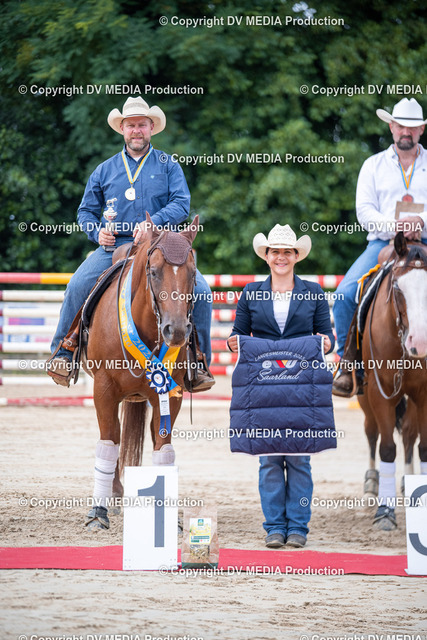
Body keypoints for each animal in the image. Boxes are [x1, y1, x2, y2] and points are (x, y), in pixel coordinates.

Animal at [83, 214, 198, 530]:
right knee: (114, 438)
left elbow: (163, 449)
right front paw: (98, 512)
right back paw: (114, 496)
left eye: (192, 274)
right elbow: (108, 443)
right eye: (154, 271)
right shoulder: (104, 391)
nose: (177, 330)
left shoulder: (170, 394)